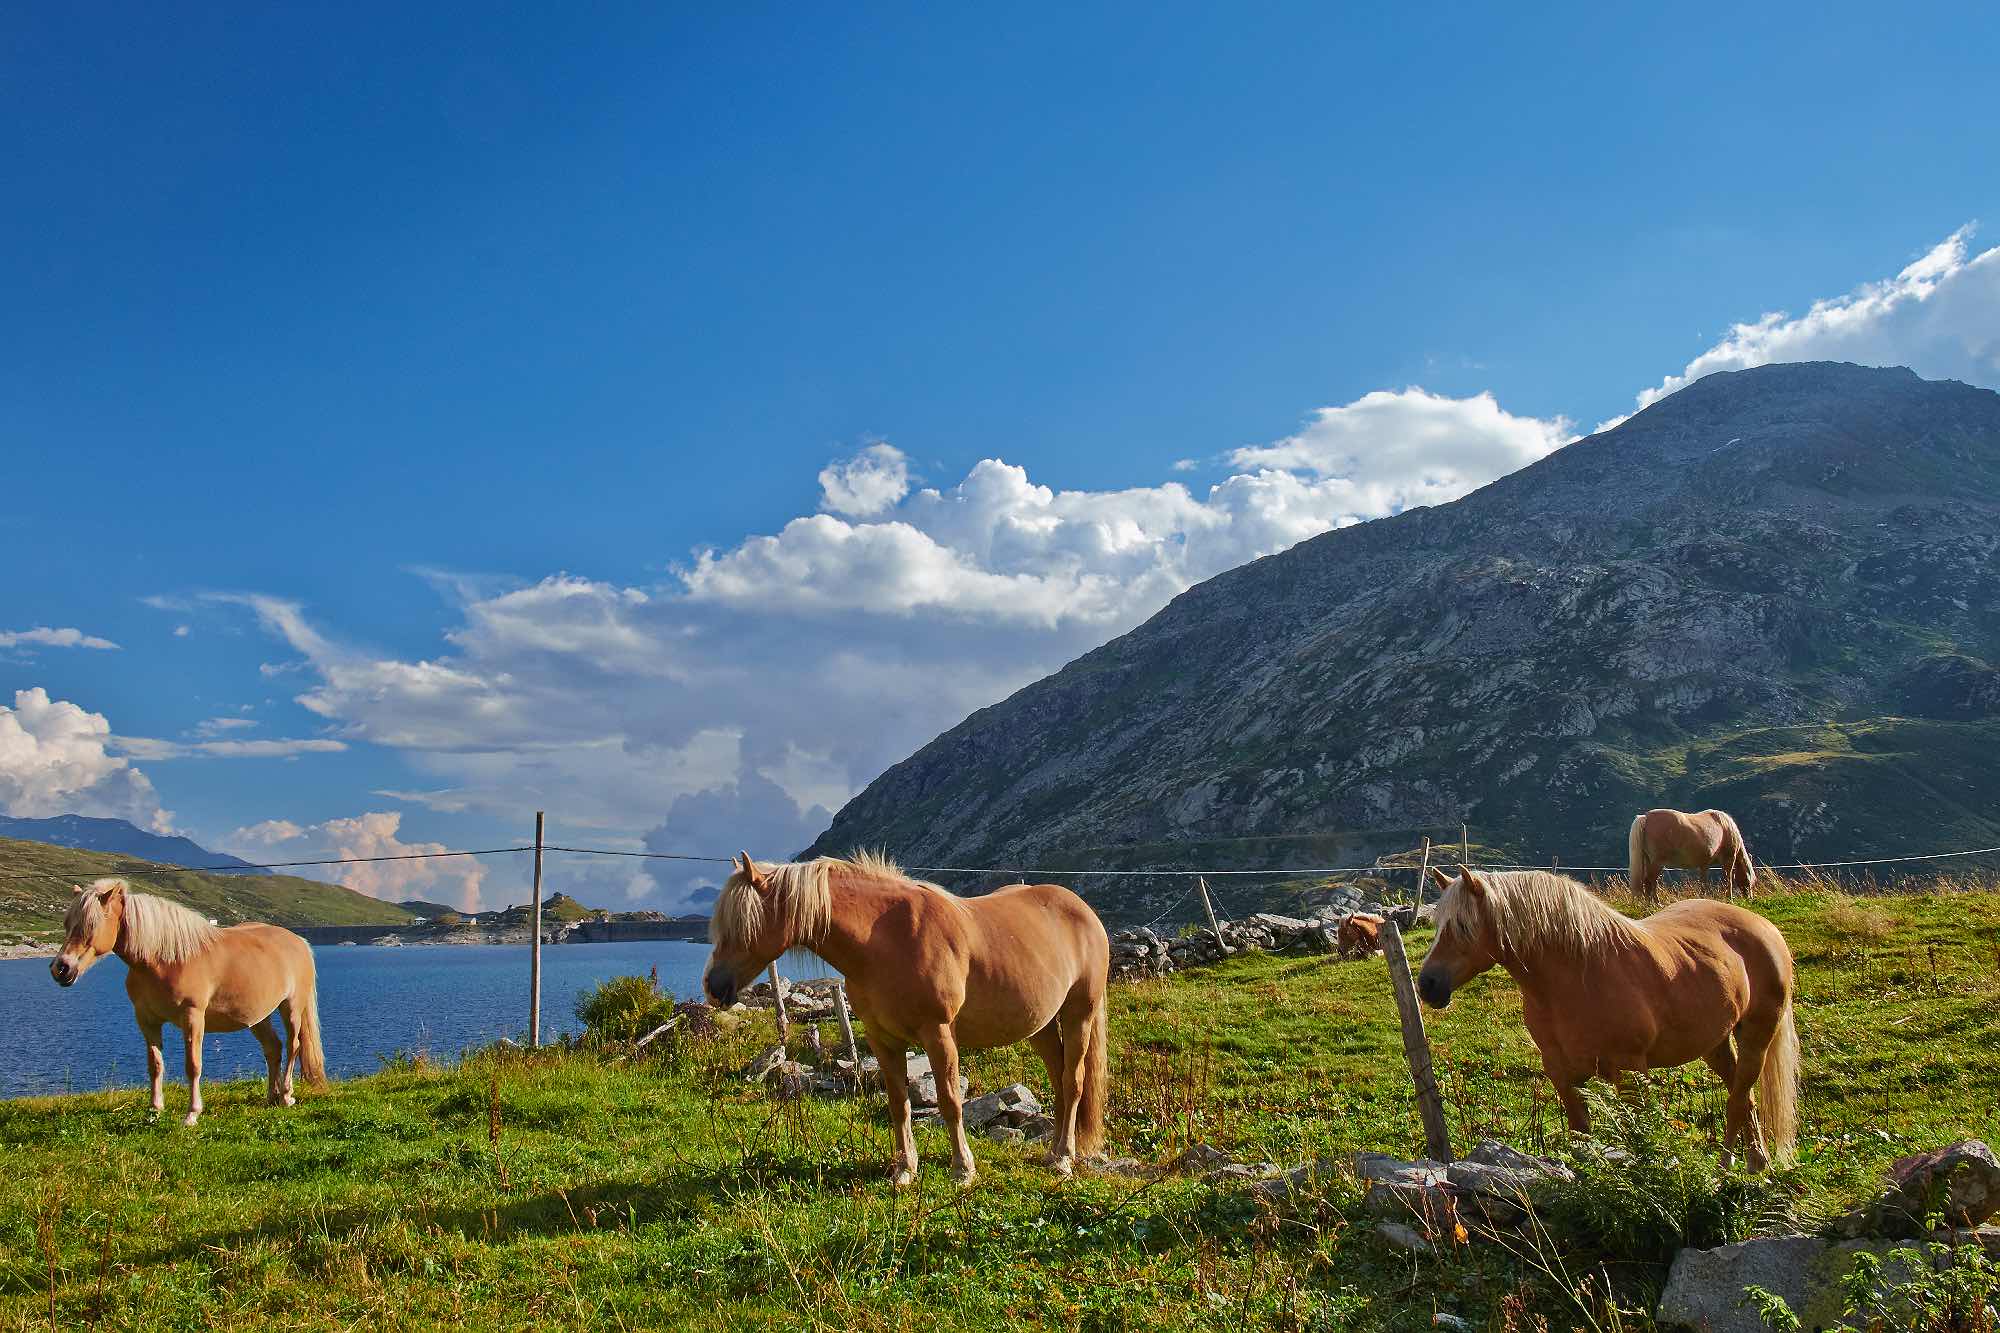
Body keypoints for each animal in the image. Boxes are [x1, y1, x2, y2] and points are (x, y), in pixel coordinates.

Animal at [51, 872, 324, 1120]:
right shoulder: (146, 1019)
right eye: (66, 924)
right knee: (273, 1048)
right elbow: (155, 1065)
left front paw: (192, 1114)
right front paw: (155, 1109)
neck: (165, 959)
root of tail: (299, 941)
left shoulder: (192, 1016)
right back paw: (271, 1097)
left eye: (91, 925)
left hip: (291, 1007)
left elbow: (193, 1065)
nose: (61, 968)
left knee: (293, 1045)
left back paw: (286, 1095)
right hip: (258, 1017)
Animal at [700, 844, 1112, 1176]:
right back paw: (1053, 1151)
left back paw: (1063, 1157)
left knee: (1073, 1082)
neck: (886, 940)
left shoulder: (938, 1033)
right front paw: (904, 1169)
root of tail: (1083, 910)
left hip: (1079, 1014)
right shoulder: (882, 1038)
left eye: (744, 923)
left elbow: (949, 1101)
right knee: (1059, 1080)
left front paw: (962, 1168)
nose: (713, 987)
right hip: (1040, 1025)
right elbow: (899, 1103)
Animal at [1416, 860, 1808, 1160]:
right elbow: (1581, 1137)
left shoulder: (1629, 1070)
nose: (1427, 984)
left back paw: (1736, 1166)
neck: (1578, 976)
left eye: (1463, 925)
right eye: (1436, 925)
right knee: (1745, 1097)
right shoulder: (1563, 1074)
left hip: (1757, 1036)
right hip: (1716, 1043)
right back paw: (1754, 1161)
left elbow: (1640, 1139)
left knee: (1740, 1097)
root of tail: (1762, 926)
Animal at [1632, 804, 1760, 896]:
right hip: (1657, 863)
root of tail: (1646, 817)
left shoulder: (1704, 865)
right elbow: (1728, 880)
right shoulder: (1728, 860)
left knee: (1649, 883)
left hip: (1649, 861)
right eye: (1749, 881)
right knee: (1650, 881)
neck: (1725, 826)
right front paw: (1729, 899)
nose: (1749, 898)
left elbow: (1703, 883)